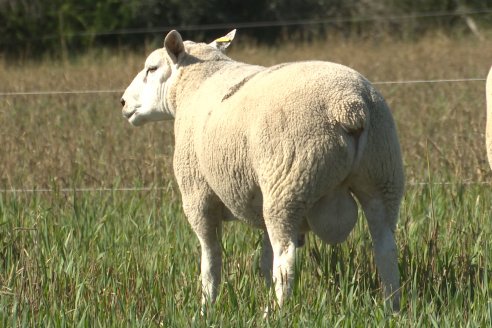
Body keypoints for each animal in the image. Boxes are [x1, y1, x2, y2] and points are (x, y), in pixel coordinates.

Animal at [120, 29, 404, 312]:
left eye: (152, 68)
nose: (123, 102)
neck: (198, 80)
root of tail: (349, 106)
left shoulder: (197, 195)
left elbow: (211, 258)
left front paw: (206, 306)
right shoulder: (259, 195)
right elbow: (264, 261)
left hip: (288, 184)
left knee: (286, 258)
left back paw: (278, 311)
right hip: (383, 176)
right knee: (385, 248)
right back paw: (392, 307)